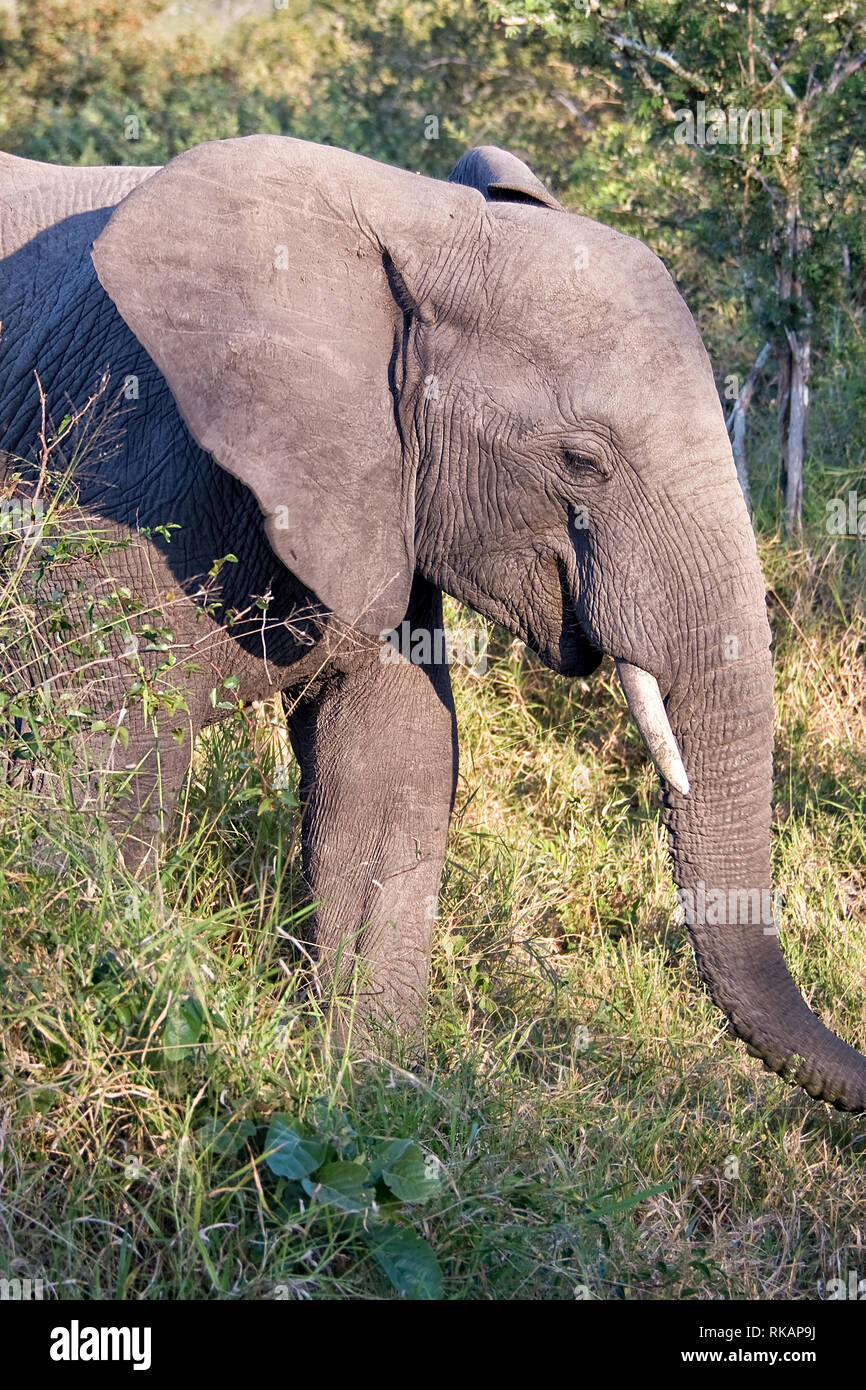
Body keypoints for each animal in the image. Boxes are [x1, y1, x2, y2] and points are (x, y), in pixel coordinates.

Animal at [0, 132, 861, 1106]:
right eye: (582, 459)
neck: (415, 225)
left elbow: (392, 760)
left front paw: (365, 1087)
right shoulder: (122, 461)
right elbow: (101, 755)